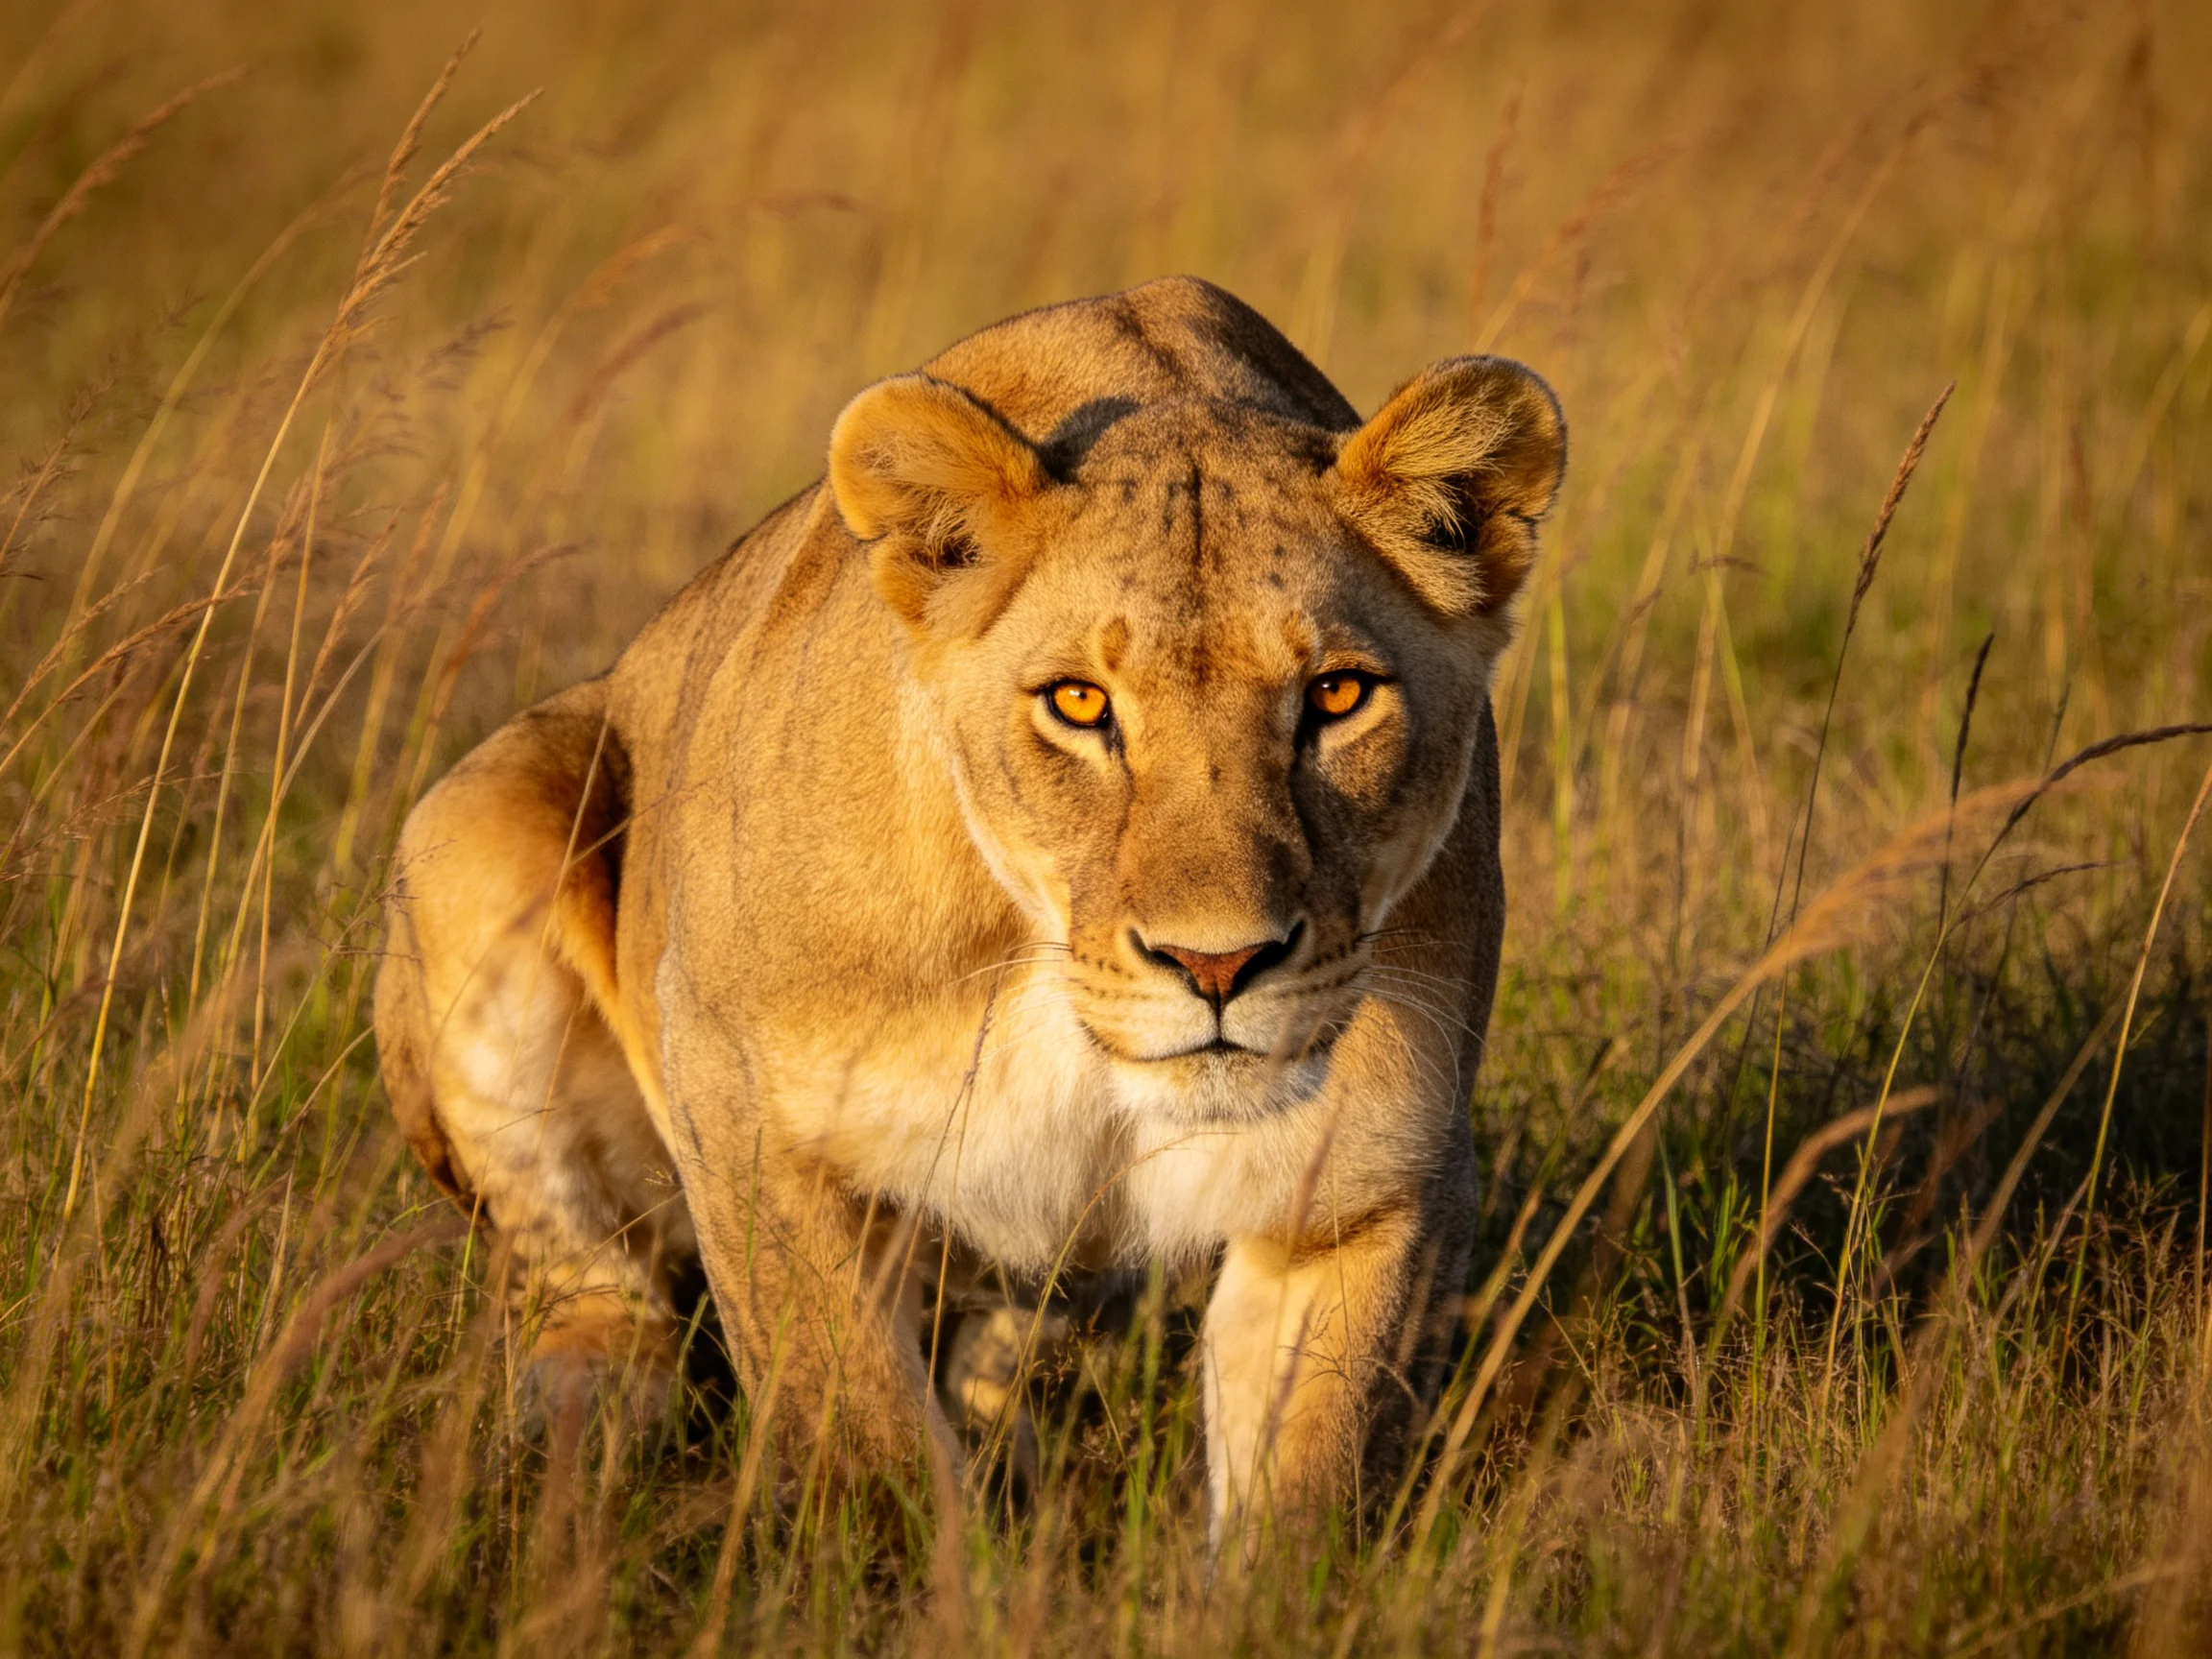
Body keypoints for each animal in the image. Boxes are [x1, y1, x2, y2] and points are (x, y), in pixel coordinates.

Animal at [373, 275, 1565, 1545]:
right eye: (1080, 703)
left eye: (1337, 695)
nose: (1218, 965)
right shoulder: (743, 1110)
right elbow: (861, 1442)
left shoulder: (1367, 1184)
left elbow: (1309, 1493)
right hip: (478, 817)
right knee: (597, 1282)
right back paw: (578, 1430)